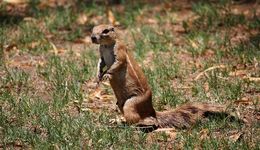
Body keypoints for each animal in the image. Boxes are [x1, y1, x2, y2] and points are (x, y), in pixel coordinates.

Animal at [91, 24, 225, 129]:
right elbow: (101, 62)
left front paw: (106, 75)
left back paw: (132, 125)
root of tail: (151, 110)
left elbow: (117, 63)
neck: (106, 45)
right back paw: (117, 121)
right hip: (120, 104)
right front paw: (98, 76)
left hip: (131, 104)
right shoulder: (101, 53)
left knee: (146, 121)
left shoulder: (120, 50)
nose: (93, 37)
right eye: (92, 29)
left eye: (105, 30)